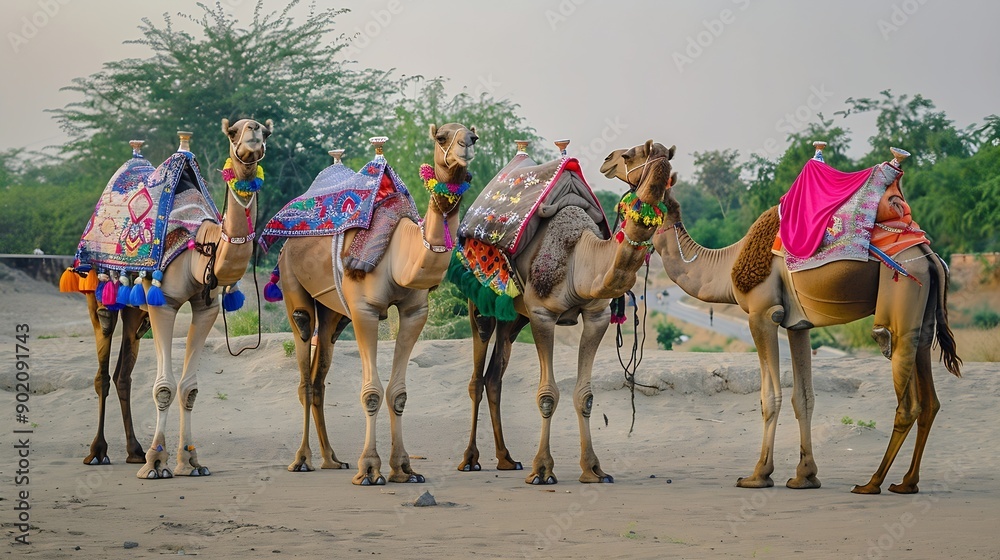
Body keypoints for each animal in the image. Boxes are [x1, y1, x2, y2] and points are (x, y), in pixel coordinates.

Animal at [137, 118, 272, 479]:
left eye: (265, 132)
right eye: (233, 131)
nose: (253, 133)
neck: (200, 248)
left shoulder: (206, 307)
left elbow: (189, 388)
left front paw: (190, 461)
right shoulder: (164, 303)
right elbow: (164, 387)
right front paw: (155, 462)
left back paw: (130, 451)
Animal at [277, 123, 477, 485]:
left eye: (472, 134)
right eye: (441, 137)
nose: (466, 146)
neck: (401, 252)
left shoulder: (414, 311)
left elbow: (398, 393)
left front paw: (404, 469)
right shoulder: (364, 310)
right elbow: (371, 392)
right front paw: (370, 469)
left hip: (333, 314)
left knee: (319, 377)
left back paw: (331, 459)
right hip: (292, 285)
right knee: (304, 371)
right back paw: (301, 459)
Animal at [457, 140, 675, 484]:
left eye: (668, 164)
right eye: (632, 155)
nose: (609, 159)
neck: (579, 260)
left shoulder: (597, 317)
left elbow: (585, 395)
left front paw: (594, 470)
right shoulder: (542, 315)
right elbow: (547, 395)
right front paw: (542, 469)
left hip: (514, 316)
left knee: (495, 377)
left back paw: (506, 459)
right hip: (480, 301)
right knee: (476, 378)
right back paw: (470, 459)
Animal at [600, 142, 962, 494]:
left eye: (630, 154)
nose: (606, 160)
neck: (725, 265)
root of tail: (929, 255)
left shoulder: (762, 315)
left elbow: (769, 396)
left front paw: (759, 474)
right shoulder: (797, 325)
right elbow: (804, 397)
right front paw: (805, 476)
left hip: (901, 297)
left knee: (906, 397)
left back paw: (872, 483)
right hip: (923, 317)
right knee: (930, 399)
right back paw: (907, 483)